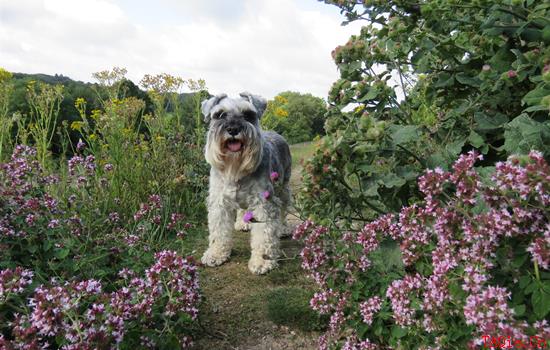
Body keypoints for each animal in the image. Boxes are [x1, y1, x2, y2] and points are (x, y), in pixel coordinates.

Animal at [201, 91, 292, 274]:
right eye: (219, 114)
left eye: (248, 115)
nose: (233, 129)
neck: (236, 168)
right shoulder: (219, 202)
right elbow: (218, 231)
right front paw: (216, 254)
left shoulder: (264, 202)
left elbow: (264, 234)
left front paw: (262, 261)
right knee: (243, 209)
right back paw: (242, 223)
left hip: (284, 189)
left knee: (284, 210)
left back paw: (284, 228)